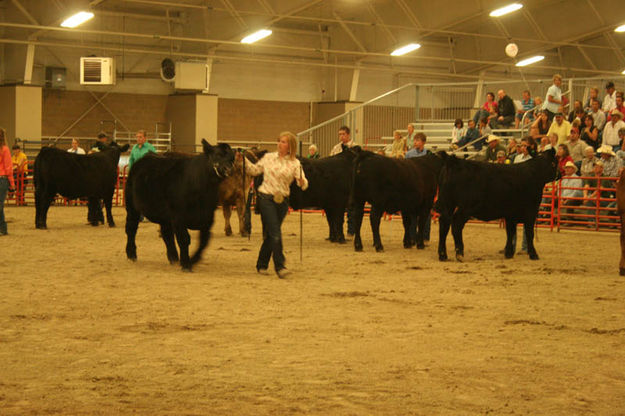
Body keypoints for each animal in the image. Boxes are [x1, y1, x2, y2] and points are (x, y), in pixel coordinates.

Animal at [124, 138, 234, 272]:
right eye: (218, 155)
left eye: (232, 158)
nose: (229, 169)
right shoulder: (178, 216)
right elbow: (184, 239)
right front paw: (186, 264)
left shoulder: (208, 217)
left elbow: (204, 241)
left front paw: (192, 259)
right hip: (132, 207)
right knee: (131, 228)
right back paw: (131, 254)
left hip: (164, 216)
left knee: (167, 234)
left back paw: (173, 257)